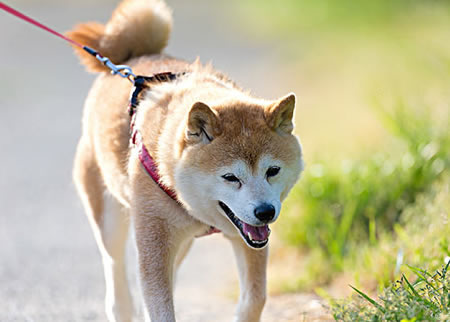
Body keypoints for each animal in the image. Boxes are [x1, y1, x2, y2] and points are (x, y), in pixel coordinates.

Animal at [68, 0, 304, 320]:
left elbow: (255, 298)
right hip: (110, 218)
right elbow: (160, 305)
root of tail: (133, 57)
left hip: (182, 243)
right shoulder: (154, 244)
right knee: (115, 271)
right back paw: (122, 306)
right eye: (230, 177)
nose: (265, 212)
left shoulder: (248, 238)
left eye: (273, 170)